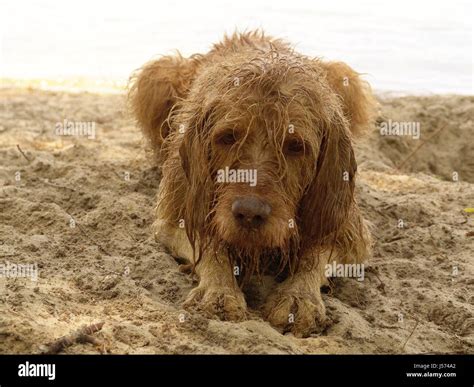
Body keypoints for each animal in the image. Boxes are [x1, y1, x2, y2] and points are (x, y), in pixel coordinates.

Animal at [129, 31, 374, 338]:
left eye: (295, 146)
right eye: (228, 137)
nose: (249, 213)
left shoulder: (349, 234)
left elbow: (314, 254)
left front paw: (299, 296)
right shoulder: (175, 216)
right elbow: (212, 245)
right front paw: (219, 289)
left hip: (344, 77)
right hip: (158, 76)